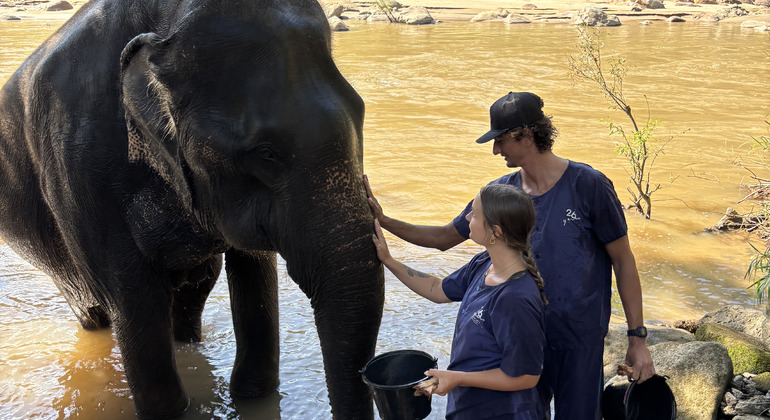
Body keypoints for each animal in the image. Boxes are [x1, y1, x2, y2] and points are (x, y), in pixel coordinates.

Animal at [0, 0, 384, 418]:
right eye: (265, 153)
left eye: (362, 112)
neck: (168, 20)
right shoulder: (81, 170)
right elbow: (134, 304)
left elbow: (255, 275)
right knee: (94, 309)